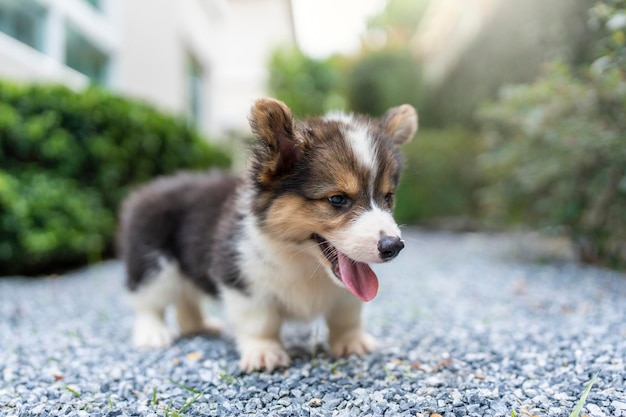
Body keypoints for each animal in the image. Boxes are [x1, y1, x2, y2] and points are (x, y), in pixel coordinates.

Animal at [119, 97, 416, 370]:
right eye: (337, 199)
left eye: (388, 197)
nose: (393, 246)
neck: (303, 261)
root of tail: (150, 187)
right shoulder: (241, 279)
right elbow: (260, 322)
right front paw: (264, 353)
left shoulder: (344, 296)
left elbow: (346, 316)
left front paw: (351, 343)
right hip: (154, 266)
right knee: (146, 302)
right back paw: (153, 333)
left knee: (186, 298)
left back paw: (199, 326)